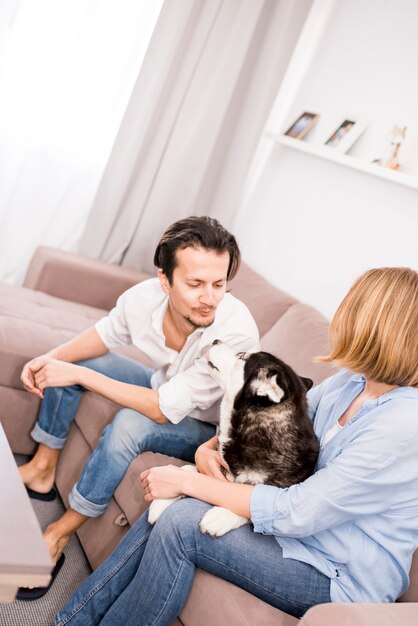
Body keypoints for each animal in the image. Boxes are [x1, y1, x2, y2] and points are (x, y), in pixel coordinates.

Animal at [149, 338, 318, 532]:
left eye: (241, 356)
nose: (216, 340)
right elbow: (189, 469)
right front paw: (163, 499)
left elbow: (255, 506)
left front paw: (222, 516)